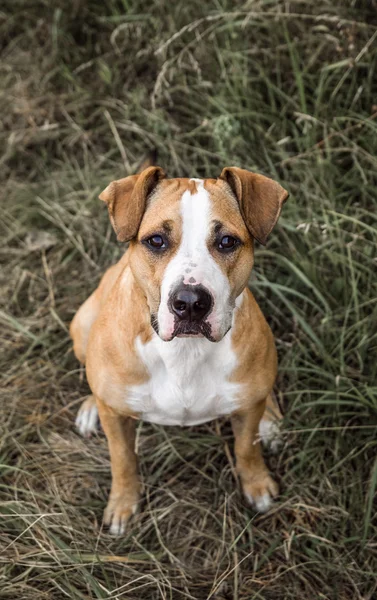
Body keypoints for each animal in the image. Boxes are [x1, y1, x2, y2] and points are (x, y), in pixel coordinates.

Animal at [70, 163, 288, 536]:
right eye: (156, 240)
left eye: (227, 241)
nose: (190, 303)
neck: (186, 352)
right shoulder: (117, 421)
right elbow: (122, 458)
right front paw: (123, 504)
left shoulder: (246, 408)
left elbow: (246, 448)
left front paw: (257, 484)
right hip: (82, 325)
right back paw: (89, 408)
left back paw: (270, 420)